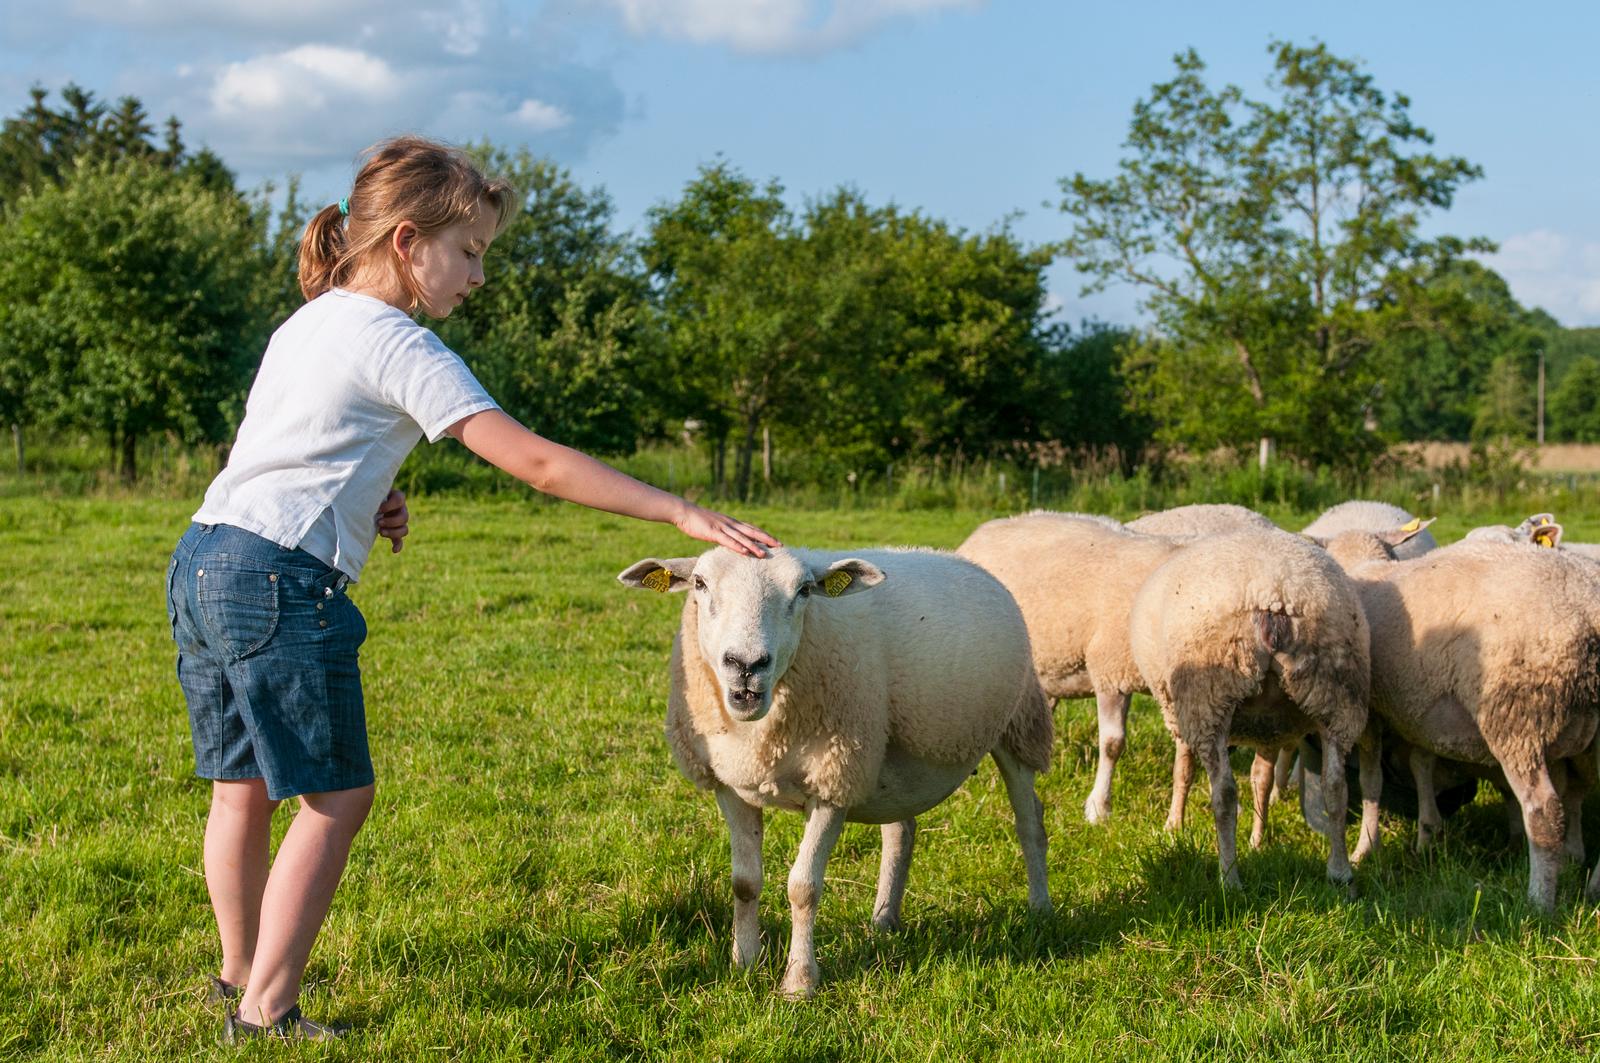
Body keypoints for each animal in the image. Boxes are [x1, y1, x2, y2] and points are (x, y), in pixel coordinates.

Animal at [617, 546, 1054, 998]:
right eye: (700, 584)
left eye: (805, 590)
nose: (746, 665)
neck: (760, 735)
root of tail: (964, 560)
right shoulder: (731, 783)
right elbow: (745, 882)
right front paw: (744, 963)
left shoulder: (832, 783)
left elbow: (803, 887)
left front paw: (799, 981)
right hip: (888, 756)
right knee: (900, 833)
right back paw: (884, 919)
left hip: (1016, 723)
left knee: (1029, 821)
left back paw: (1039, 909)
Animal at [1128, 527, 1372, 889]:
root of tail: (1275, 597)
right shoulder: (1270, 726)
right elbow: (1262, 780)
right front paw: (1258, 841)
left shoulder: (1181, 713)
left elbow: (1183, 771)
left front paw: (1173, 827)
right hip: (1336, 695)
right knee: (1335, 787)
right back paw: (1340, 872)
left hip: (1209, 698)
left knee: (1225, 793)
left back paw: (1229, 878)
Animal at [1322, 531, 1600, 910]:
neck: (1364, 565)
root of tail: (1589, 611)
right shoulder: (1423, 709)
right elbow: (1421, 763)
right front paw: (1427, 836)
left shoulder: (1372, 712)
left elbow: (1371, 782)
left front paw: (1365, 849)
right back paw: (1591, 885)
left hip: (1518, 718)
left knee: (1543, 812)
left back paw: (1538, 901)